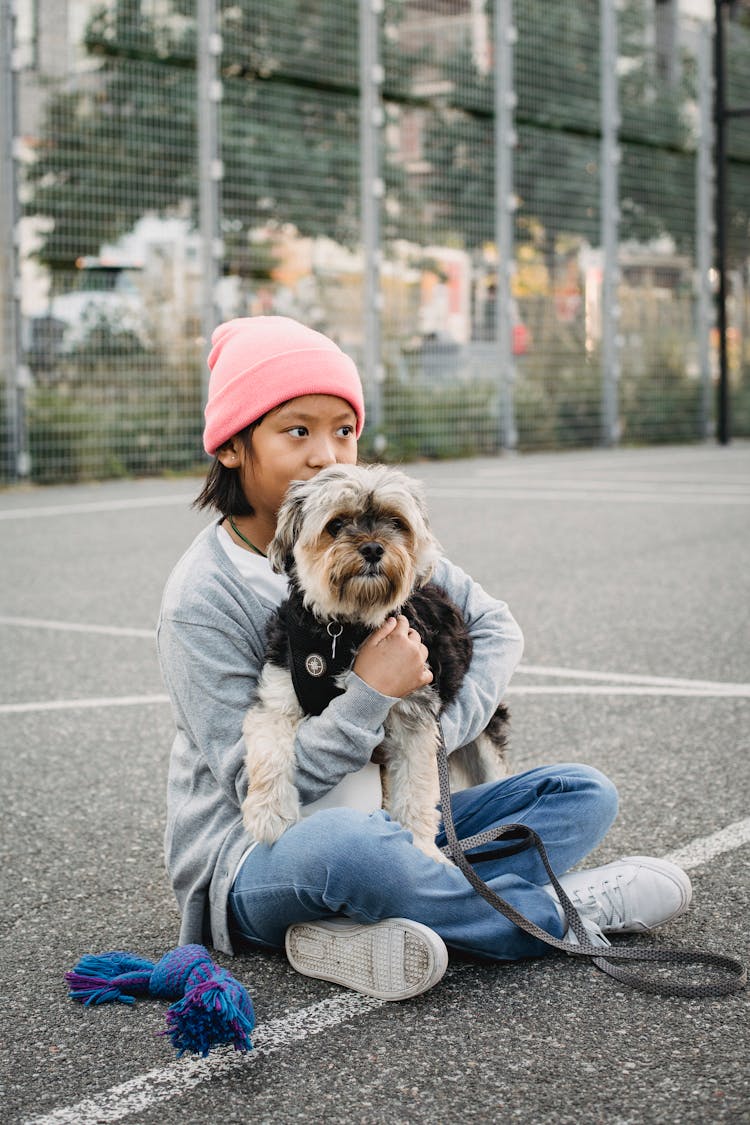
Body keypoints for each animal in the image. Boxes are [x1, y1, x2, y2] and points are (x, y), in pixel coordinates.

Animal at [240, 459, 510, 859]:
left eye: (396, 522)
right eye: (336, 525)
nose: (372, 548)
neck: (342, 629)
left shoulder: (414, 719)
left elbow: (415, 789)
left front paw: (422, 848)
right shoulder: (276, 697)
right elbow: (267, 751)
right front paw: (268, 813)